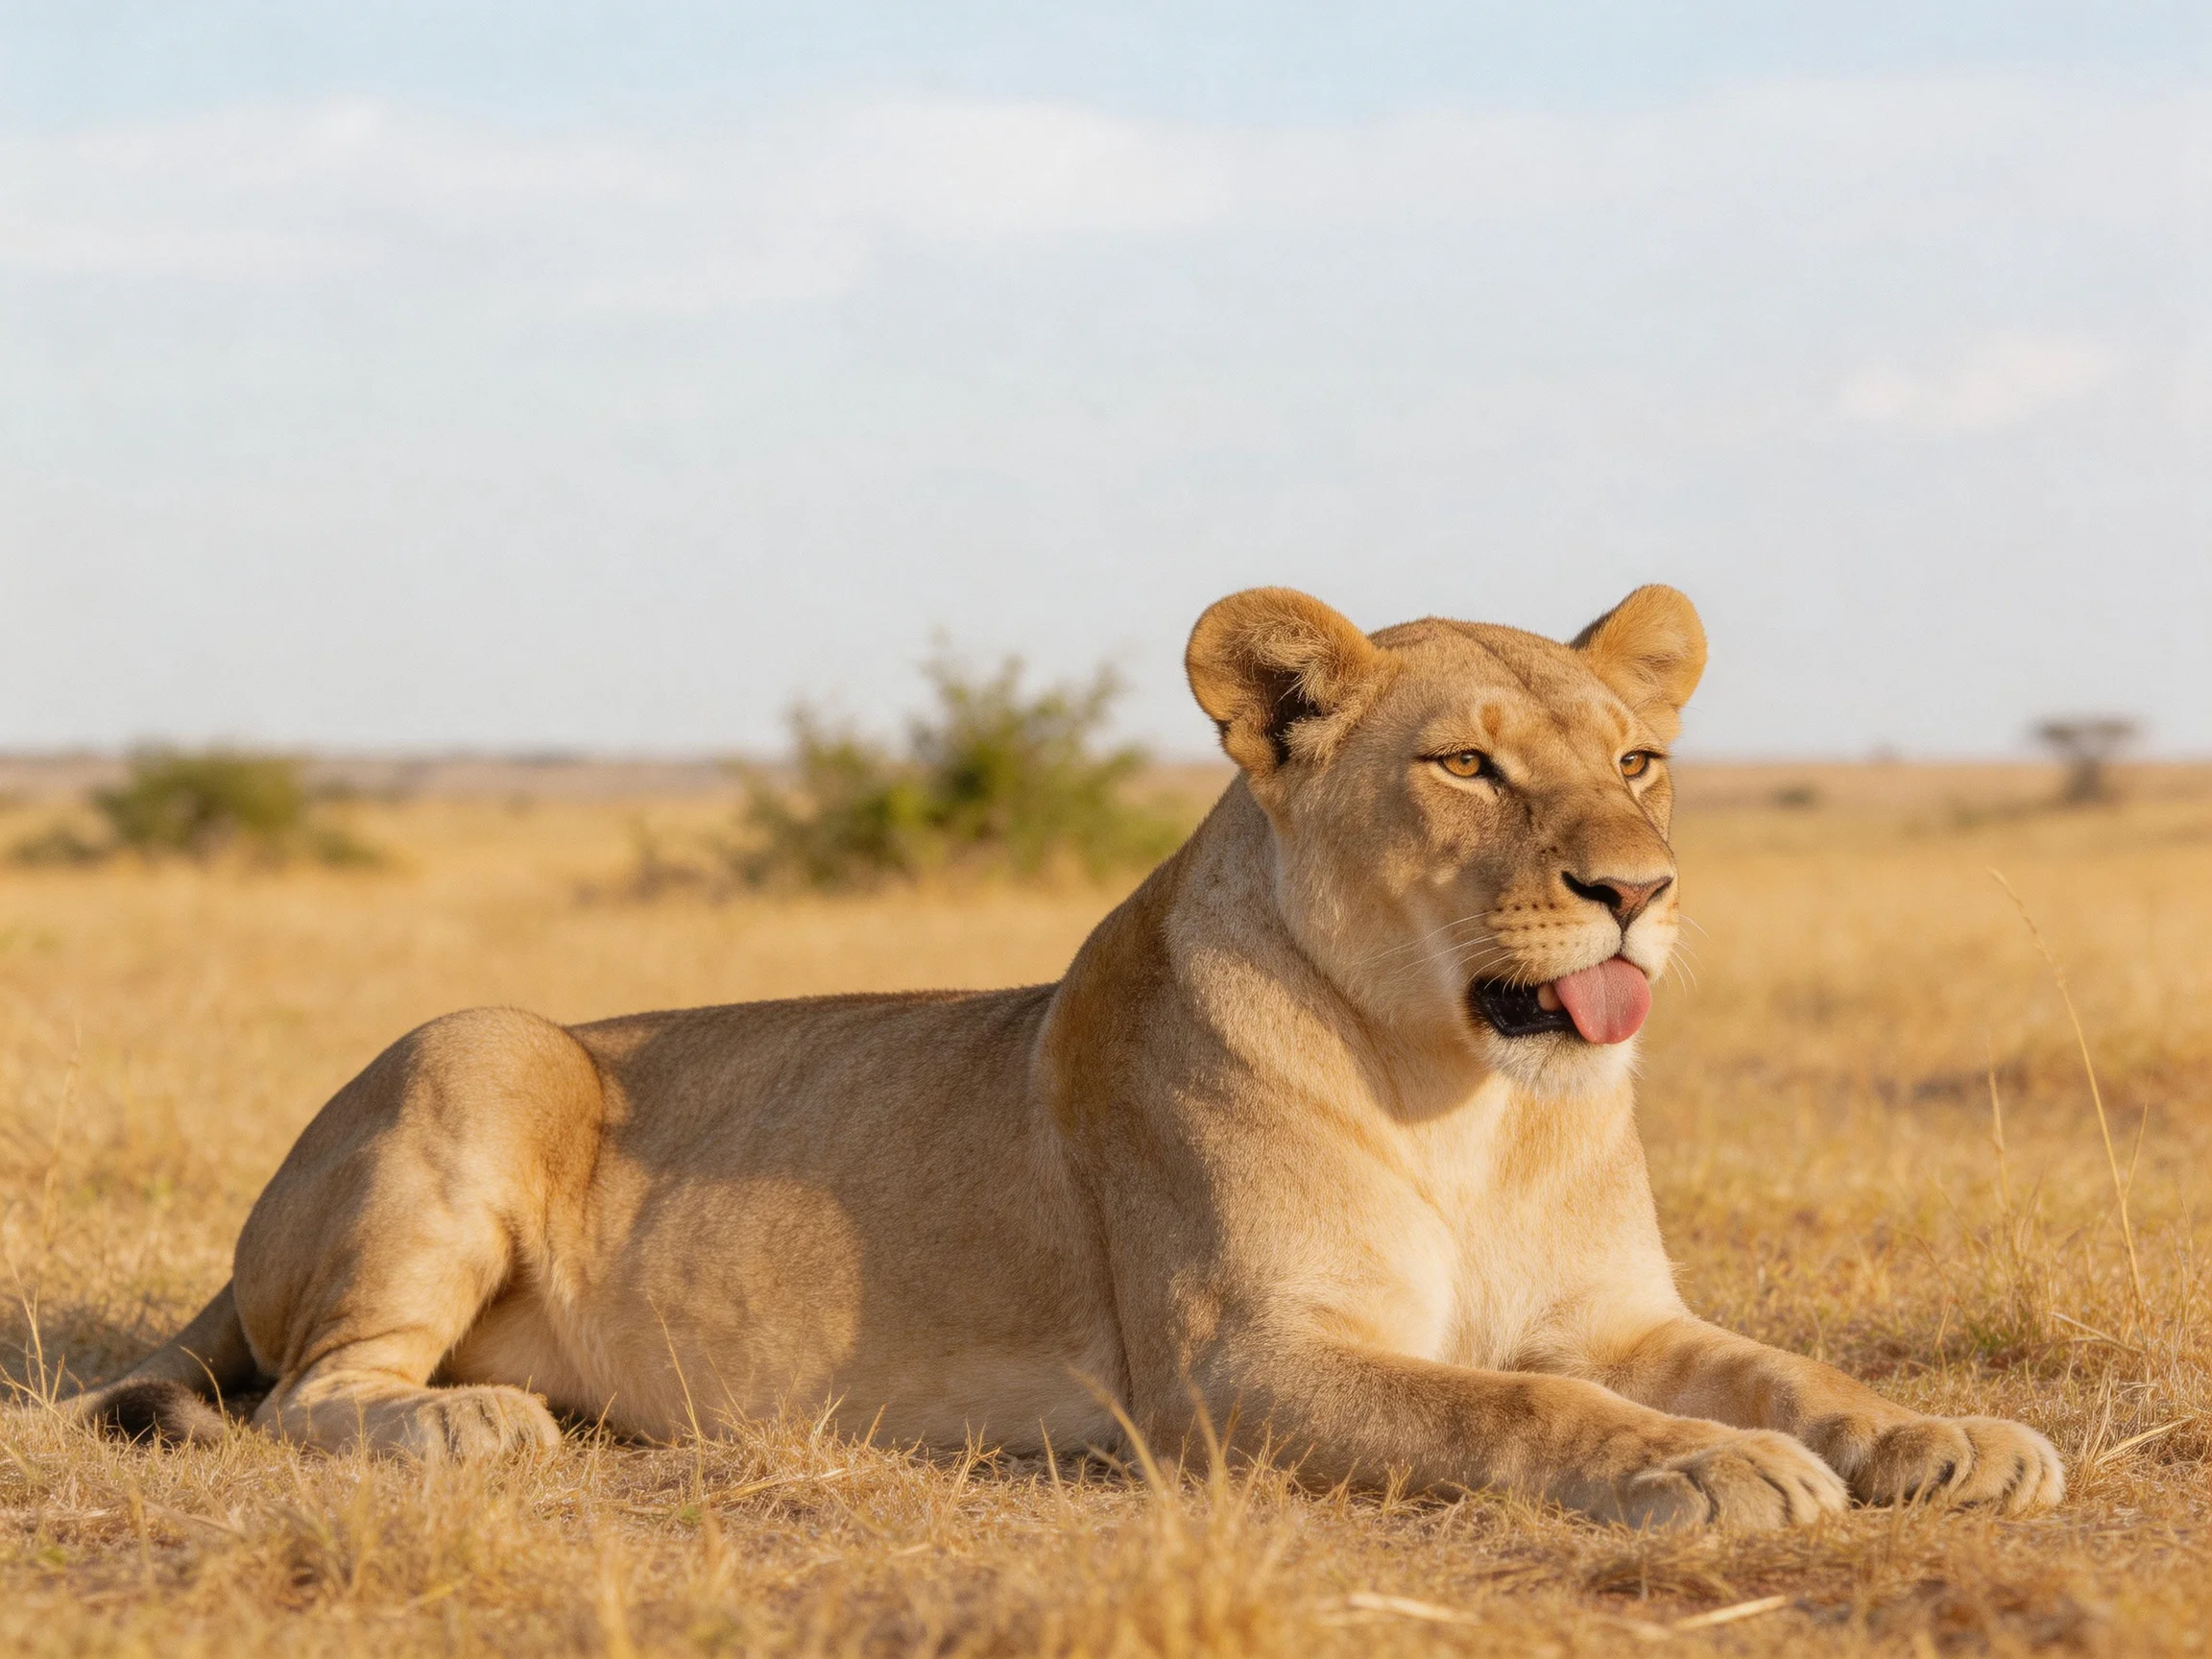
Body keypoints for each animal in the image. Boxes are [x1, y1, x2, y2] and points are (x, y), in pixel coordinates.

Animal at [64, 584, 2061, 1528]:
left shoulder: (1620, 1311)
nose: (1634, 889)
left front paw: (1940, 1434)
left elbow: (1786, 1366)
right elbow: (1514, 1407)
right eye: (1465, 765)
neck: (1469, 1096)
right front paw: (1715, 1472)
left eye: (1635, 759)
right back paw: (470, 1415)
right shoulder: (1237, 1366)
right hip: (471, 1044)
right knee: (315, 1391)